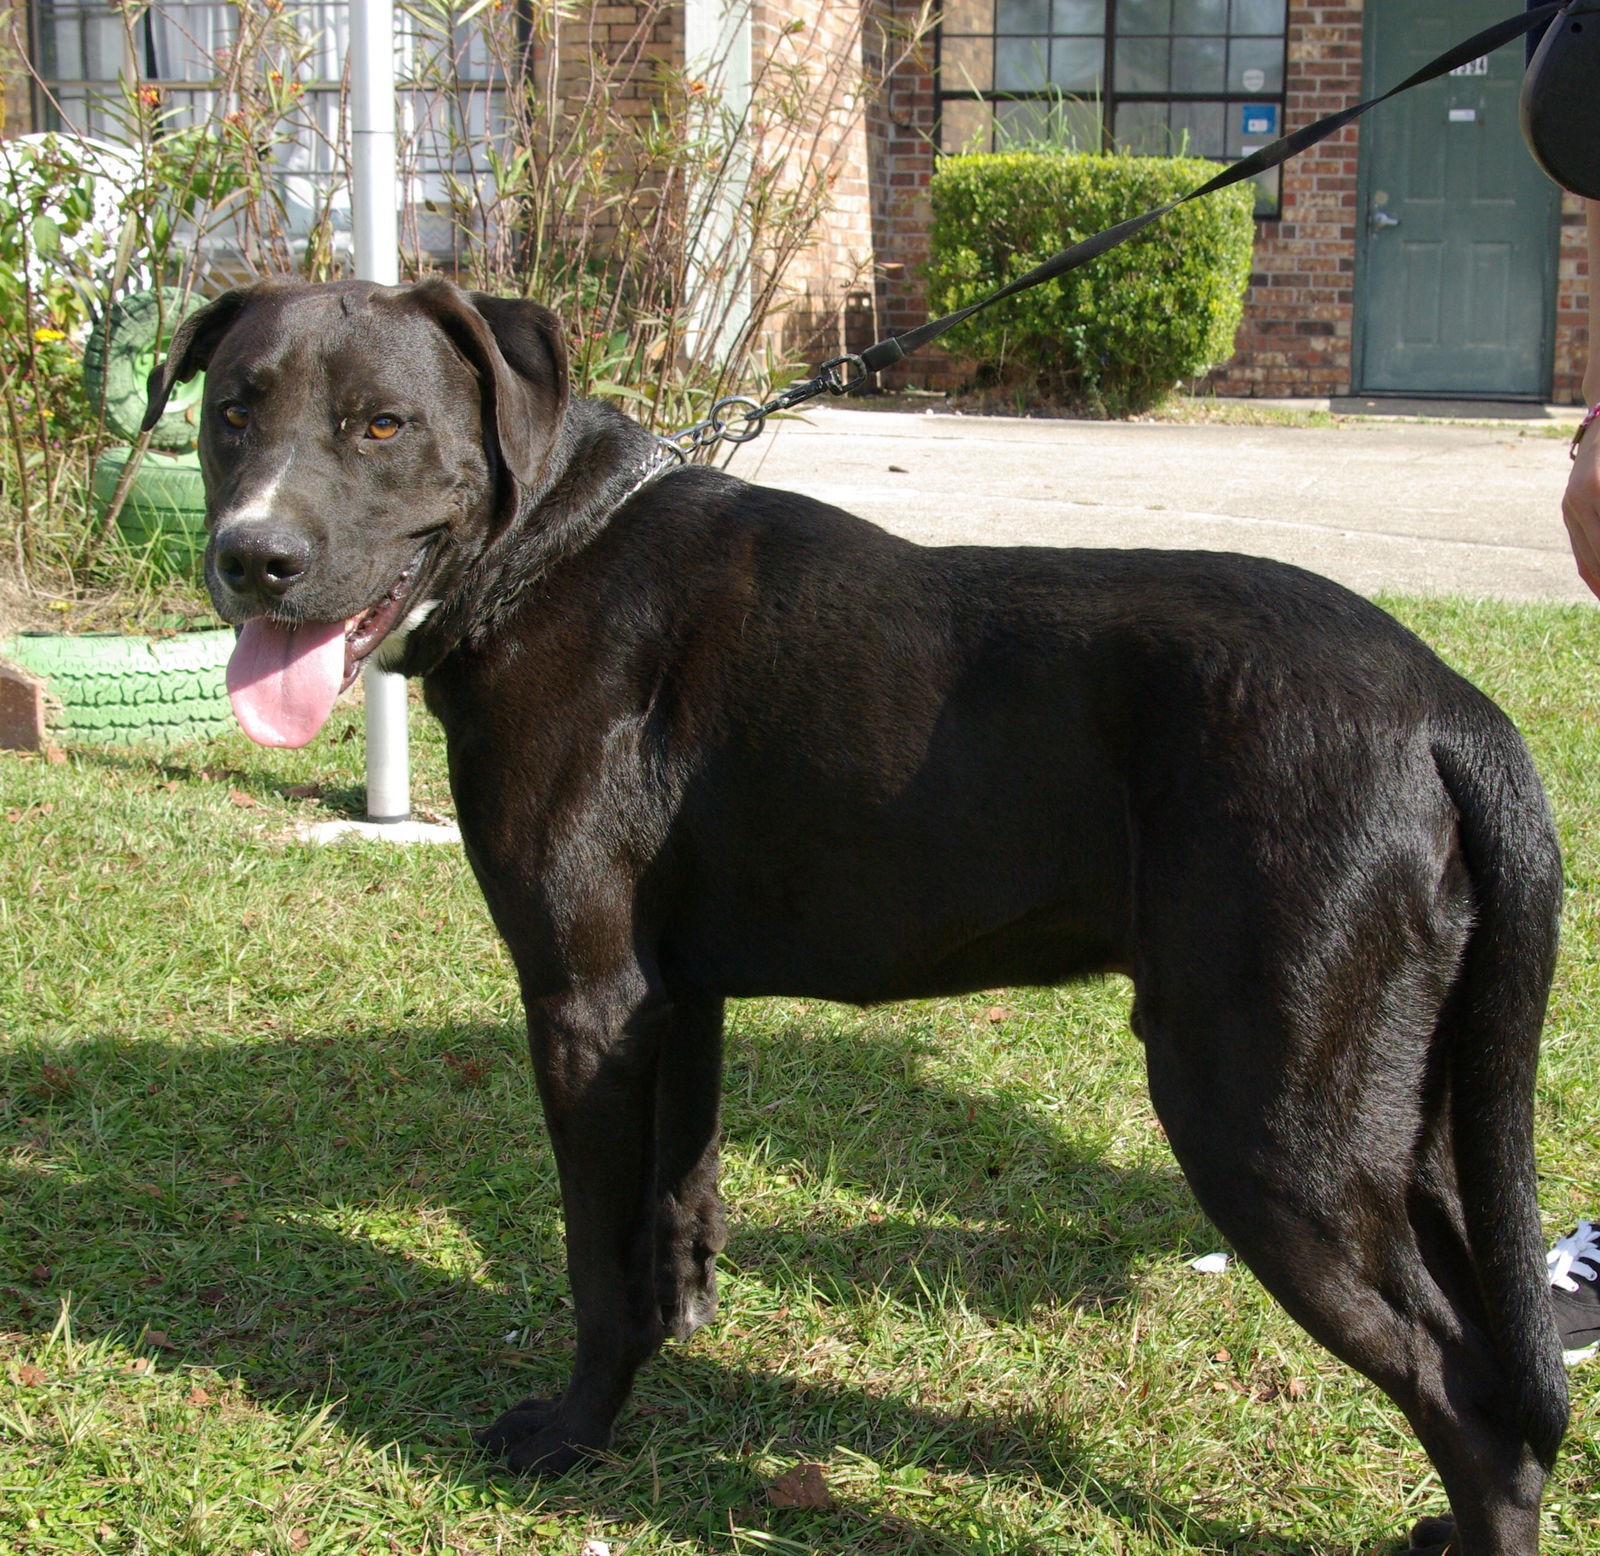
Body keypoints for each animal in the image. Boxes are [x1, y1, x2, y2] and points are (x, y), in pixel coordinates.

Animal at [150, 283, 1574, 1556]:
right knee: (1499, 1368)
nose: (251, 558)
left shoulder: (582, 1003)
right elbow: (675, 1200)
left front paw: (573, 1431)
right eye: (231, 413)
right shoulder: (674, 996)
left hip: (1266, 1118)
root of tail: (1452, 711)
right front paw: (680, 1331)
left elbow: (595, 1258)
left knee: (1465, 1395)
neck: (551, 539)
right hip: (1408, 1114)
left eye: (383, 424)